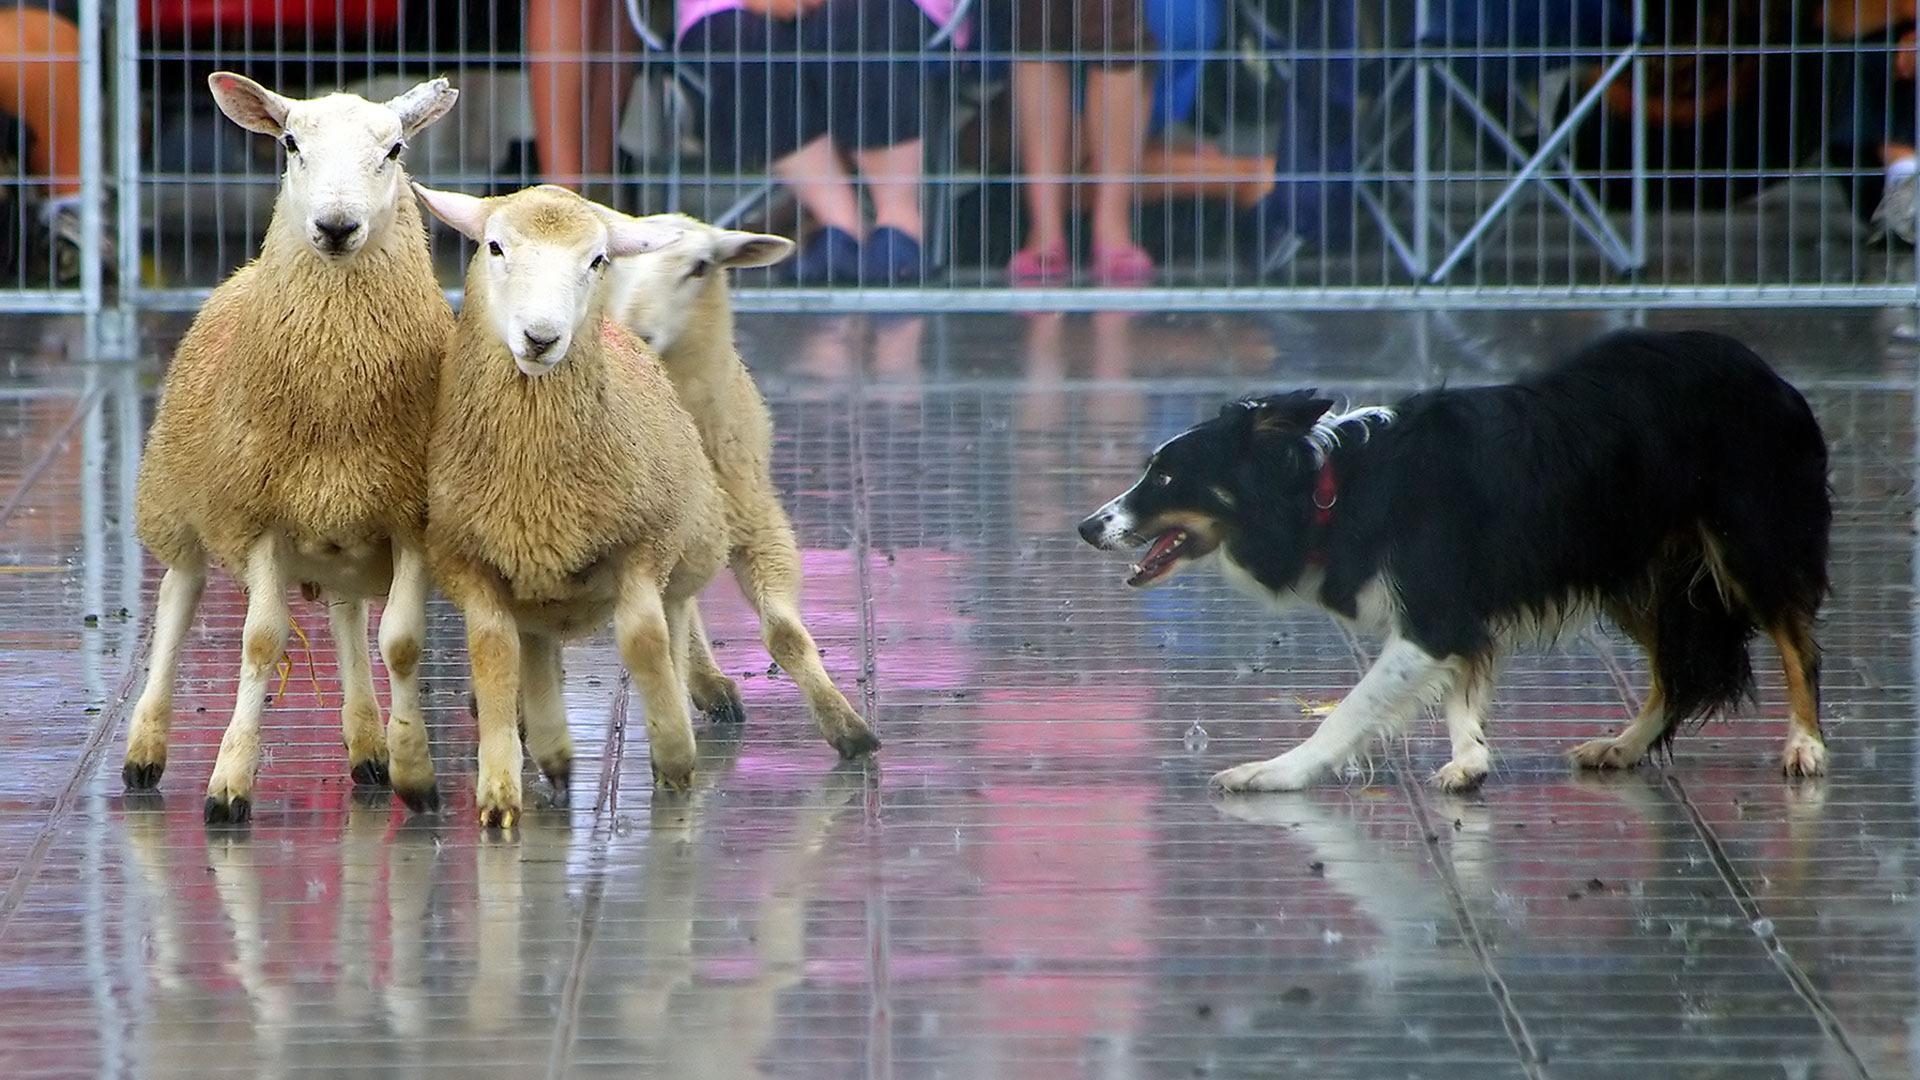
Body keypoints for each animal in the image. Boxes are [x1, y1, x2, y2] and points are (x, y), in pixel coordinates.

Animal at [125, 72, 459, 823]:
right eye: (289, 144)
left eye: (395, 149)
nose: (335, 228)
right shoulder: (259, 518)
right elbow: (261, 641)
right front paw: (228, 784)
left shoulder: (411, 520)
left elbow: (400, 643)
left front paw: (415, 773)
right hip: (177, 504)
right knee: (174, 606)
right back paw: (143, 752)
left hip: (343, 537)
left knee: (346, 618)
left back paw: (368, 749)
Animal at [414, 183, 728, 828]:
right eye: (494, 246)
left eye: (597, 260)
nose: (541, 338)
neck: (536, 477)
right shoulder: (467, 564)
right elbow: (495, 653)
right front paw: (499, 793)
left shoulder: (642, 548)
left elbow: (644, 642)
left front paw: (675, 759)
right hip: (534, 585)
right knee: (534, 646)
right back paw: (554, 755)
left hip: (685, 549)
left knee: (676, 617)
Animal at [606, 213, 880, 760]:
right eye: (615, 264)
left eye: (700, 266)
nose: (636, 332)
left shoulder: (760, 523)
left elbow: (785, 635)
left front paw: (846, 725)